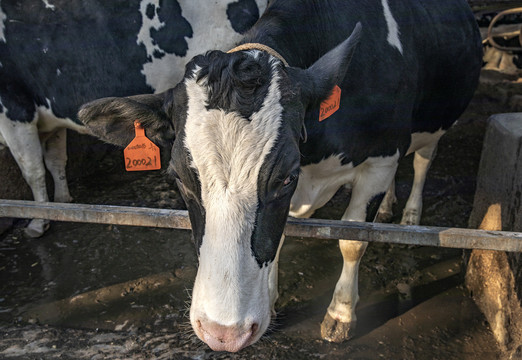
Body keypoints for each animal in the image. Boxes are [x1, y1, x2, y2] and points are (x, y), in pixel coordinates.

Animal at [0, 0, 266, 238]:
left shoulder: (14, 110)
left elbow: (32, 169)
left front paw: (37, 221)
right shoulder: (48, 121)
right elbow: (55, 161)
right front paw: (60, 202)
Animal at [77, 0, 480, 354]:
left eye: (286, 177)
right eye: (178, 178)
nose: (223, 333)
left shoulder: (381, 159)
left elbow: (352, 240)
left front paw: (340, 314)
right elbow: (279, 239)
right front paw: (269, 302)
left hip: (433, 125)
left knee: (424, 161)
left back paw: (410, 215)